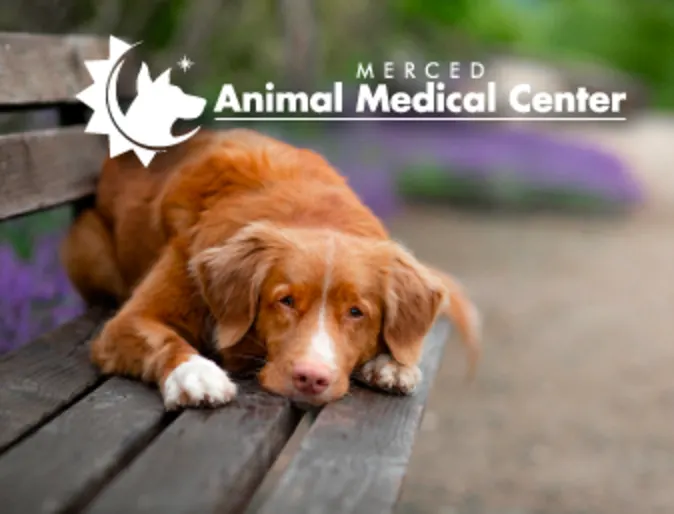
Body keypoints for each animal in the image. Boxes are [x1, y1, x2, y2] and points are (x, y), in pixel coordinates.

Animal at [59, 129, 478, 408]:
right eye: (285, 301)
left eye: (357, 312)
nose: (312, 378)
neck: (308, 211)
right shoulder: (125, 323)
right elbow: (163, 339)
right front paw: (195, 373)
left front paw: (392, 365)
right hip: (87, 242)